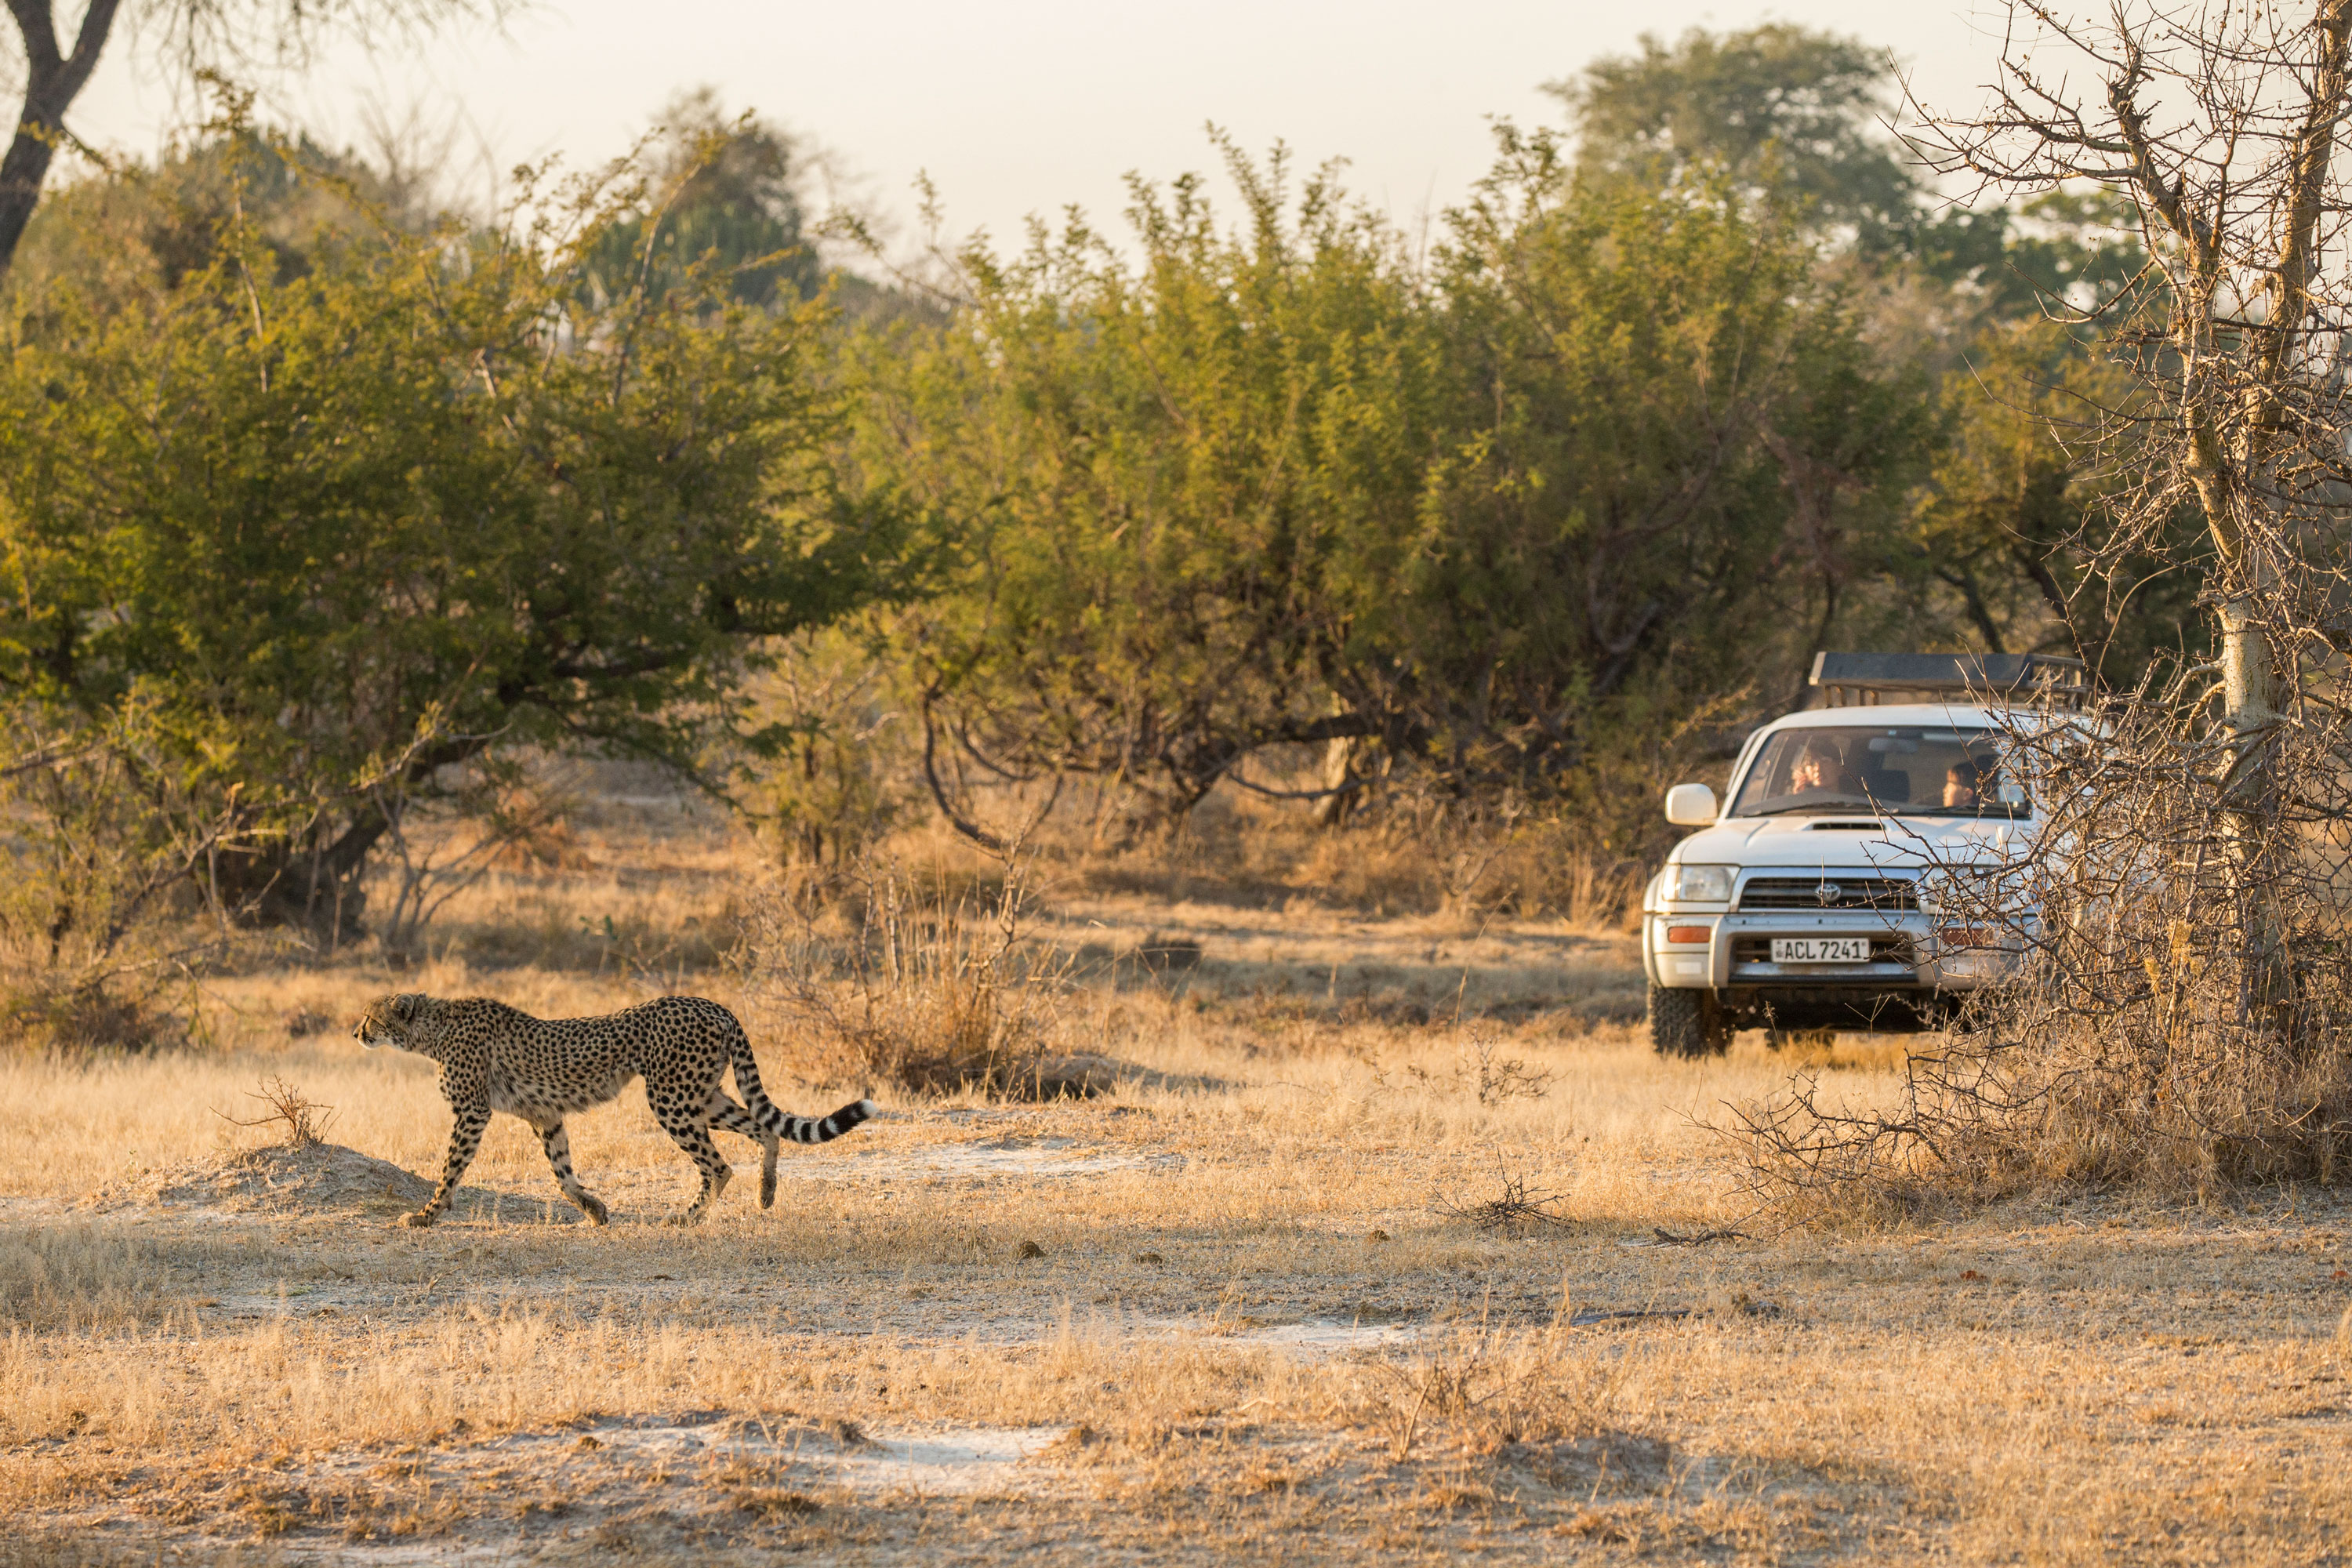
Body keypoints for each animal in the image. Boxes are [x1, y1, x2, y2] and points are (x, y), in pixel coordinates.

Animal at [358, 992, 884, 1222]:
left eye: (370, 1016)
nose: (356, 1032)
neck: (431, 1029)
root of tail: (712, 1004)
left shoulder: (472, 1111)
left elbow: (450, 1168)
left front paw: (427, 1214)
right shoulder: (545, 1115)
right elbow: (562, 1172)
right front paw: (594, 1209)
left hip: (670, 1098)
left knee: (718, 1164)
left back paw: (688, 1217)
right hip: (702, 1095)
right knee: (765, 1129)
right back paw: (766, 1193)